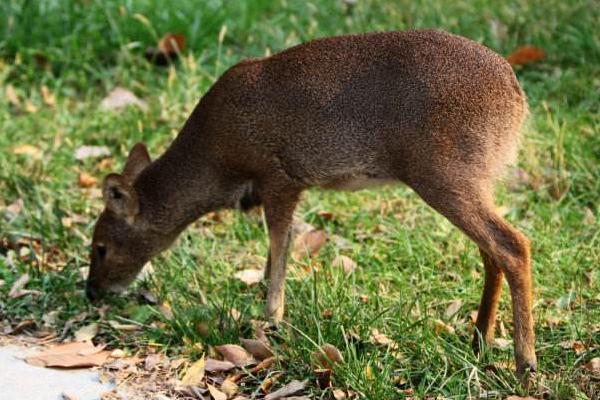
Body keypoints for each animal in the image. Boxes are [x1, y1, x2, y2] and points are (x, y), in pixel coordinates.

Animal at [83, 29, 536, 380]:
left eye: (100, 247)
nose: (92, 291)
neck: (216, 160)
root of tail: (517, 97)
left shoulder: (279, 177)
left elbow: (280, 245)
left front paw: (270, 320)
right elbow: (274, 253)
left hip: (443, 172)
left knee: (512, 244)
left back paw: (524, 362)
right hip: (474, 177)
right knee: (491, 251)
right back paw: (479, 339)